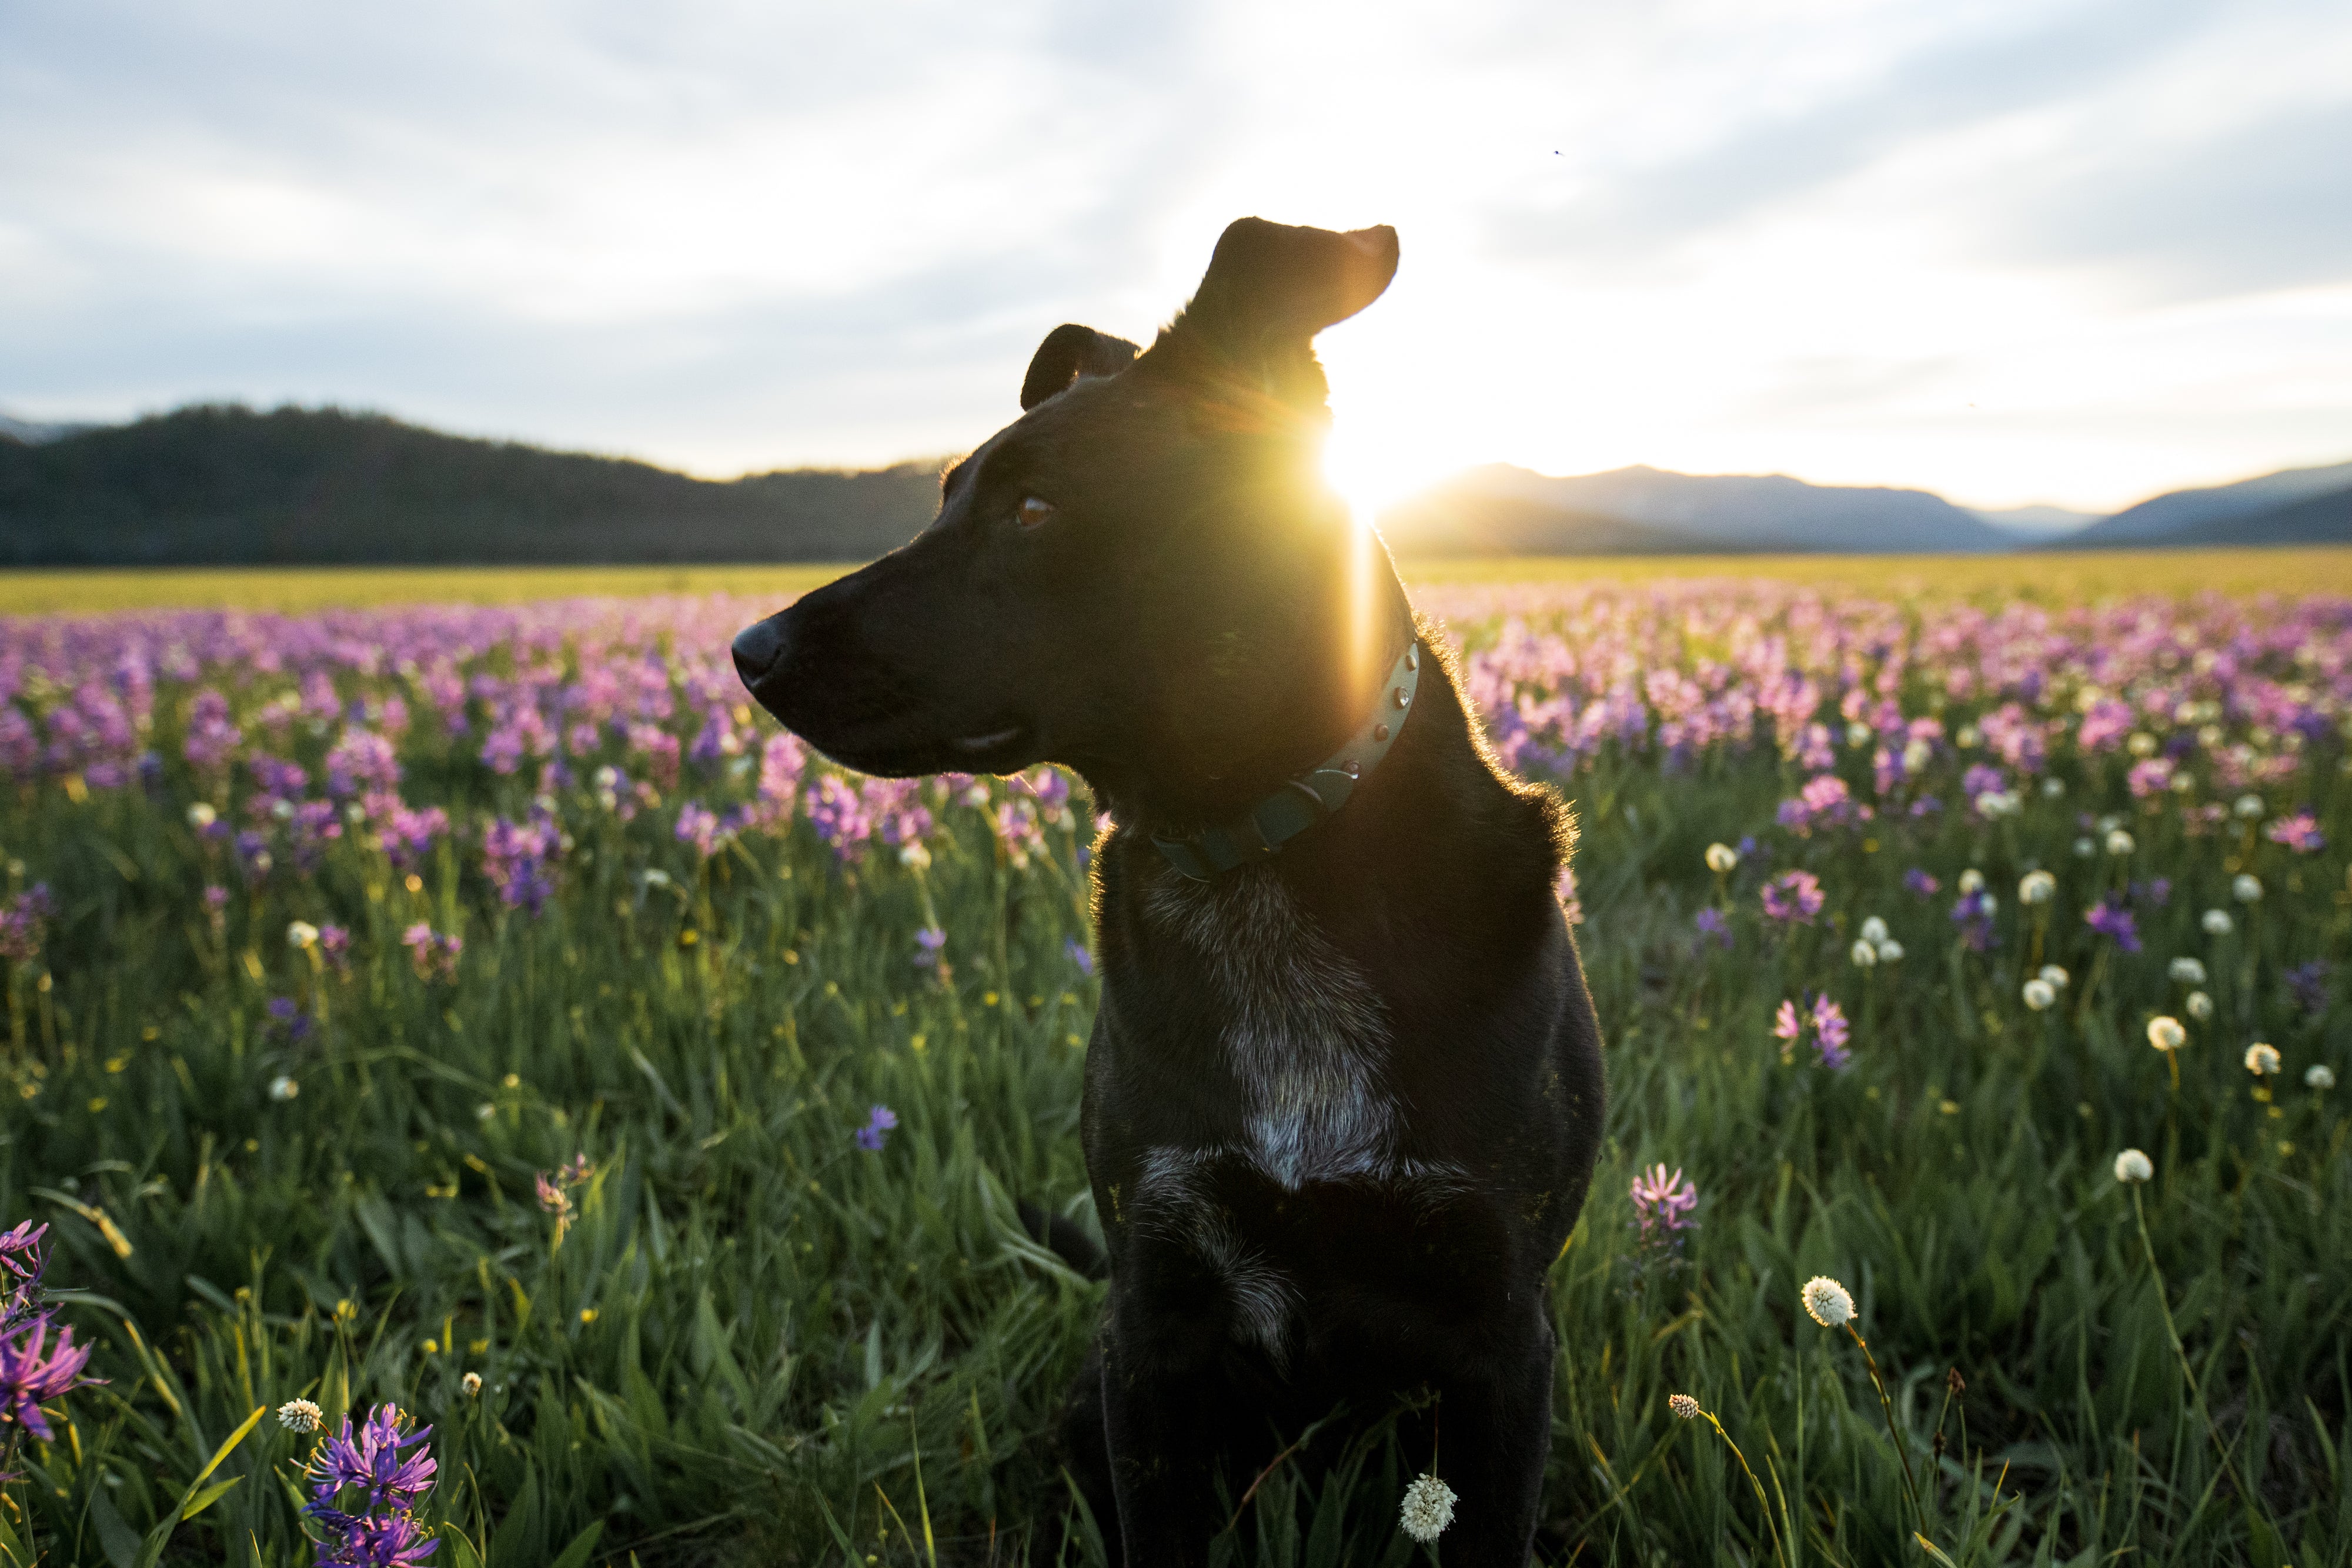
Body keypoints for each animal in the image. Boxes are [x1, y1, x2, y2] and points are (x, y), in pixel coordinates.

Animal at [739, 215, 1599, 1561]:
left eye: (1035, 508)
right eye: (947, 495)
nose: (749, 651)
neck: (1250, 853)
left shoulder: (1499, 1329)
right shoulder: (1155, 1318)